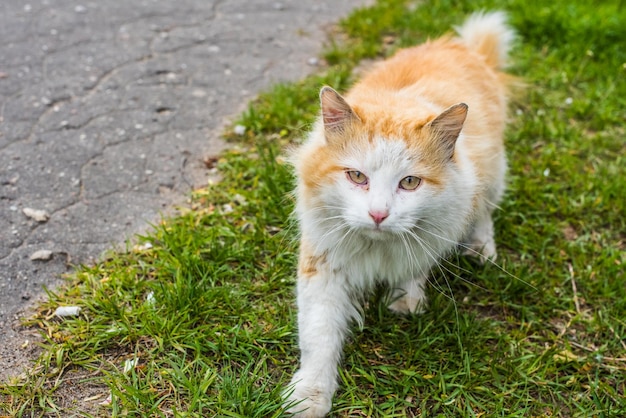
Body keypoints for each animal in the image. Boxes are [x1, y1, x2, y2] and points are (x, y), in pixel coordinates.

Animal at [286, 10, 516, 418]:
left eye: (409, 182)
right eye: (356, 176)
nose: (378, 214)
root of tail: (461, 47)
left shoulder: (437, 228)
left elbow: (413, 266)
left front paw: (404, 301)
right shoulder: (322, 264)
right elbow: (318, 336)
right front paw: (309, 398)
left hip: (492, 175)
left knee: (486, 214)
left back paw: (481, 250)